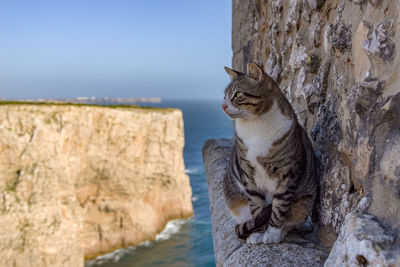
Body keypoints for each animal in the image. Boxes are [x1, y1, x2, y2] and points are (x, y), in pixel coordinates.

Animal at [220, 62, 318, 245]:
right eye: (225, 95)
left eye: (237, 94)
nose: (223, 105)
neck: (255, 126)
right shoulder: (248, 174)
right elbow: (256, 208)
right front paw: (256, 234)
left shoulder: (287, 174)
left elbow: (279, 207)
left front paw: (272, 233)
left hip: (304, 202)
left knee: (293, 219)